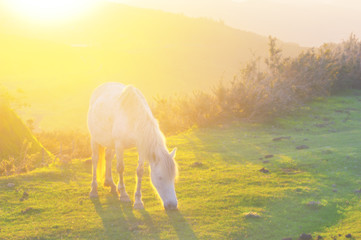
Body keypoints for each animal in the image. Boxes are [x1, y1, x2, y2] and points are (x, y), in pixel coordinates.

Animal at [87, 82, 177, 210]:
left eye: (173, 177)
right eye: (160, 177)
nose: (172, 205)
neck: (133, 117)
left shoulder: (141, 145)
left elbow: (140, 171)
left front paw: (138, 201)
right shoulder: (119, 144)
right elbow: (120, 168)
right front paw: (124, 194)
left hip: (110, 142)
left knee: (108, 157)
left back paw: (111, 184)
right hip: (94, 138)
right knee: (95, 160)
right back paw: (94, 190)